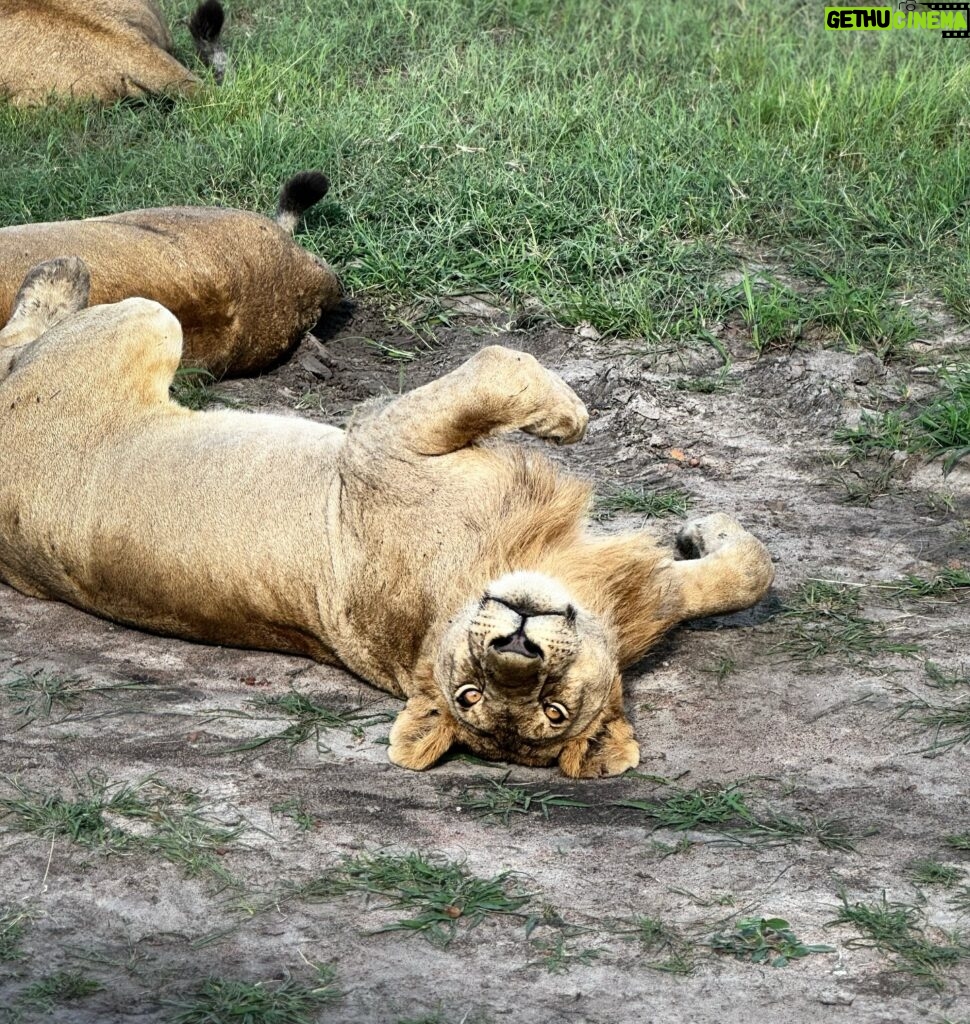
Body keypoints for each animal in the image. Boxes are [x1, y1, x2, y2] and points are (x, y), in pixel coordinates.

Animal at [0, 262, 774, 774]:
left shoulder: (644, 595)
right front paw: (569, 415)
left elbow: (746, 576)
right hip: (145, 318)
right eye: (470, 691)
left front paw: (705, 533)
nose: (515, 646)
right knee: (23, 340)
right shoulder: (381, 438)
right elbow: (502, 361)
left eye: (552, 710)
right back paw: (60, 270)